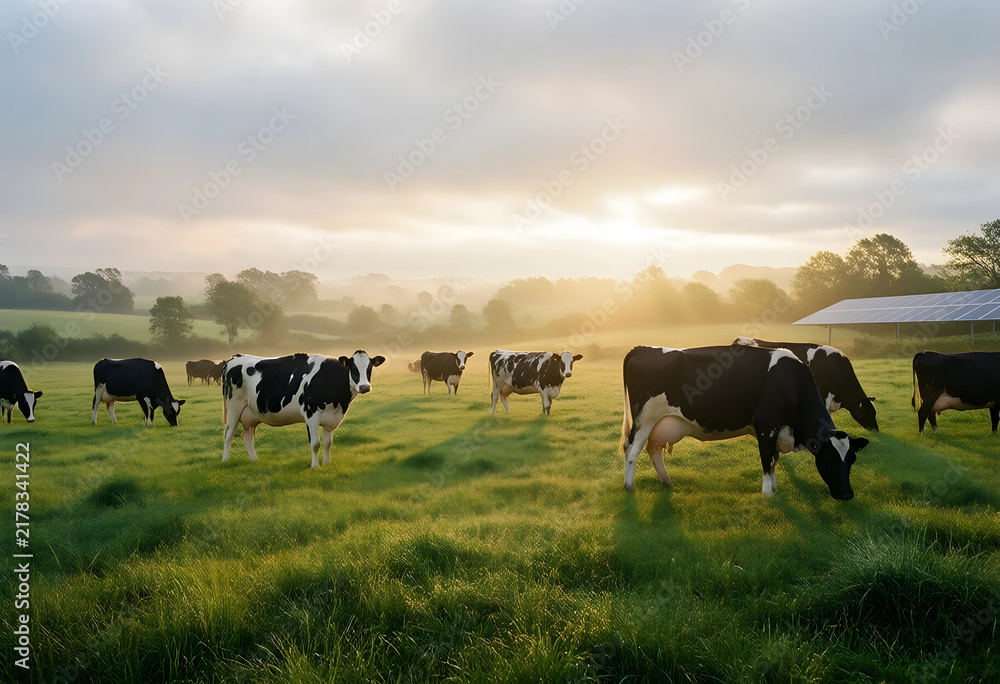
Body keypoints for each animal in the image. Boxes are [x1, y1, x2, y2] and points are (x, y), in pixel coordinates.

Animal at [222, 350, 385, 468]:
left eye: (369, 368)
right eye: (353, 368)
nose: (364, 387)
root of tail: (235, 357)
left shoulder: (330, 417)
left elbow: (327, 443)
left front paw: (327, 464)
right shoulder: (311, 414)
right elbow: (315, 444)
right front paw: (315, 466)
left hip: (251, 413)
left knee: (247, 436)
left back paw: (255, 460)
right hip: (233, 406)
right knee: (229, 434)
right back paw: (225, 460)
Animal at [620, 345, 869, 499]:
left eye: (852, 460)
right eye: (828, 459)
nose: (847, 494)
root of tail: (643, 349)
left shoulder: (776, 429)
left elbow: (774, 460)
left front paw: (775, 489)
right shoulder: (766, 425)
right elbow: (767, 460)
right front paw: (768, 494)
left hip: (658, 424)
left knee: (653, 449)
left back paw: (667, 482)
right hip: (645, 418)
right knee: (632, 448)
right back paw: (629, 488)